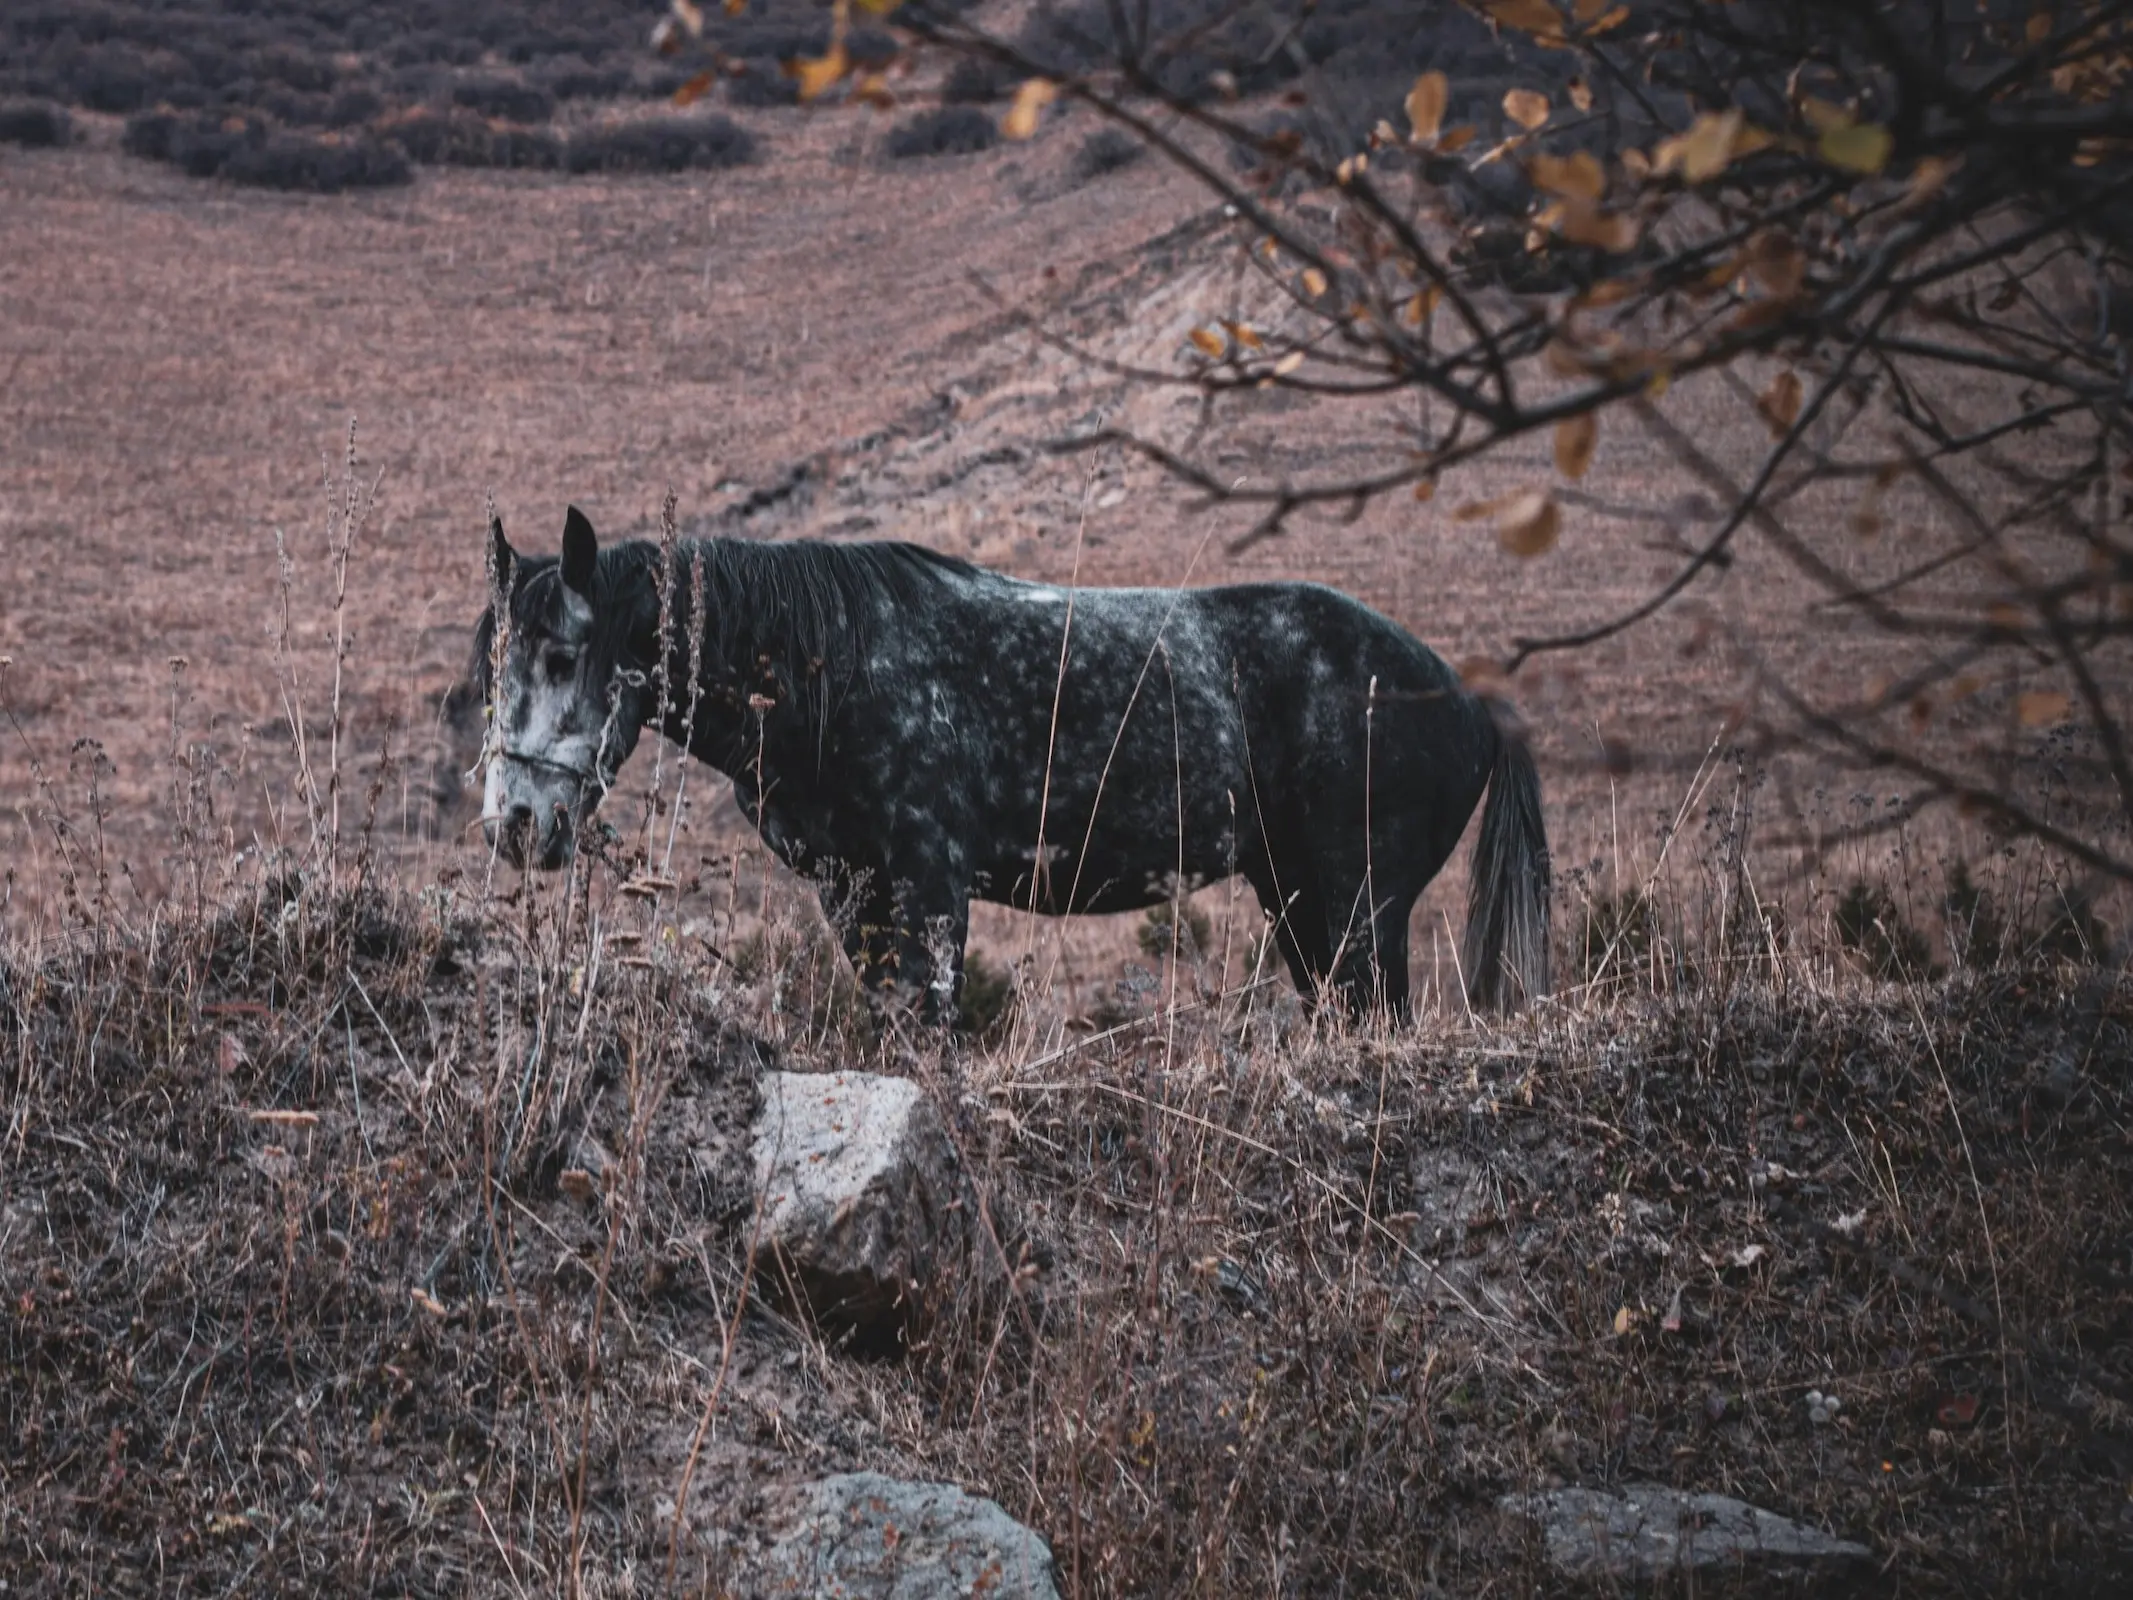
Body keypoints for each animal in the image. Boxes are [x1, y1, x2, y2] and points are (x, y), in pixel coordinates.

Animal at [473, 506, 1550, 1023]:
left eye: (564, 657)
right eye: (491, 671)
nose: (514, 823)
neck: (836, 668)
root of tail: (1470, 703)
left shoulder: (929, 885)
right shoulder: (852, 893)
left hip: (1362, 903)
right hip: (1299, 901)